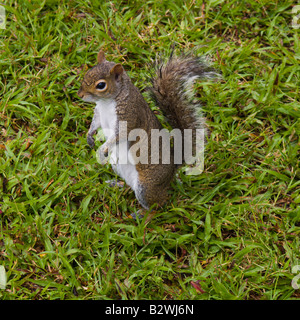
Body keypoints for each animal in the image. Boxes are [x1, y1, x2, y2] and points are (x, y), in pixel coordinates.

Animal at [78, 48, 218, 211]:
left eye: (101, 85)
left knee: (158, 205)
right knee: (130, 186)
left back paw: (142, 214)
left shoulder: (129, 115)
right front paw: (89, 136)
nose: (80, 94)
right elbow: (95, 124)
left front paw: (102, 149)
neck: (107, 102)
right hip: (118, 166)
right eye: (88, 72)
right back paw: (117, 184)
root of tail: (173, 165)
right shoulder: (99, 113)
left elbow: (120, 135)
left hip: (147, 186)